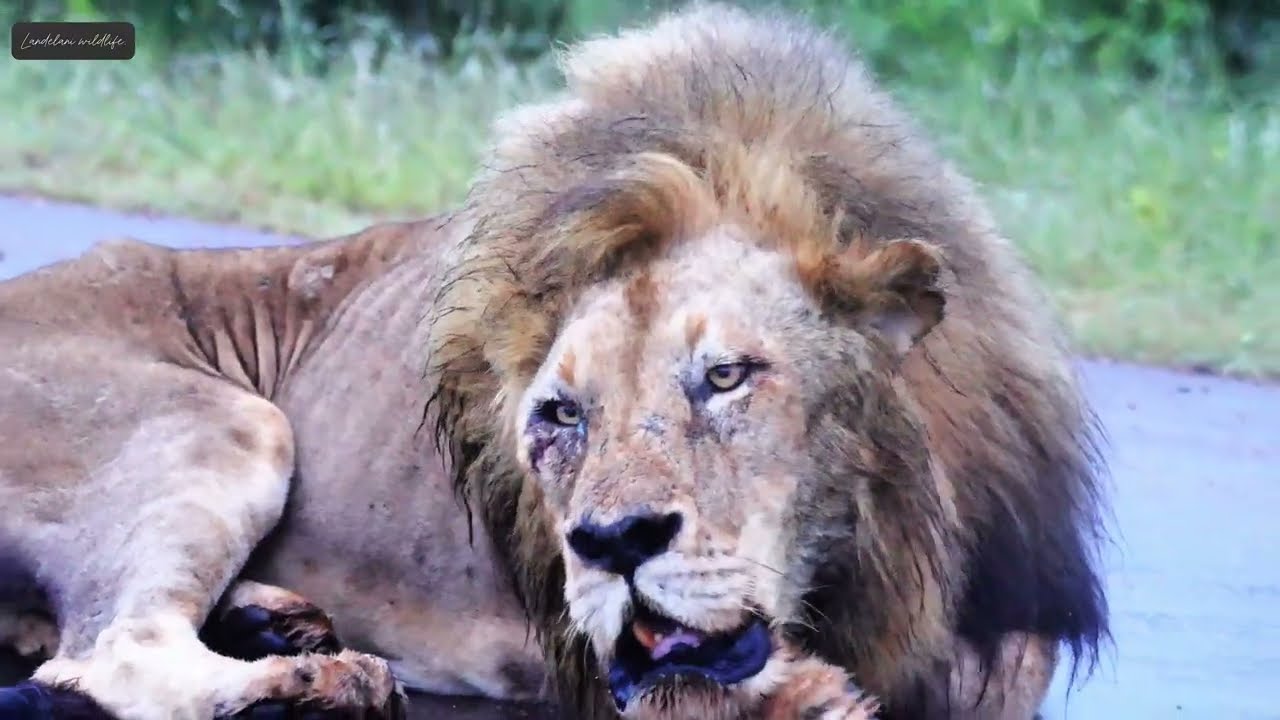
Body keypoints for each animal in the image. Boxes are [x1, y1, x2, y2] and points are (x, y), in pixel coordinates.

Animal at [0, 3, 1108, 719]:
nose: (613, 544)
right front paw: (804, 695)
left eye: (726, 376)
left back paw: (284, 628)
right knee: (103, 657)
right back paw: (316, 684)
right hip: (232, 421)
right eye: (559, 414)